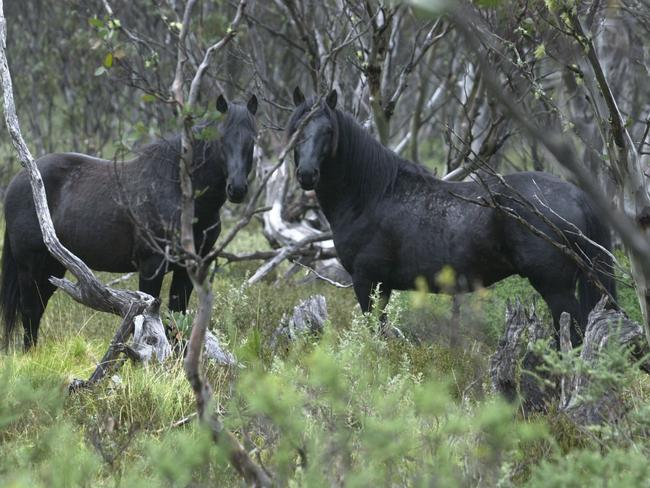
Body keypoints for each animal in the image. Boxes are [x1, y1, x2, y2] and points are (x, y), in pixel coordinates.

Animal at [0, 93, 258, 348]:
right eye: (222, 139)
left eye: (252, 141)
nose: (237, 189)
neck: (178, 190)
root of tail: (17, 181)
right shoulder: (151, 267)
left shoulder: (187, 270)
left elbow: (176, 319)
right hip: (29, 264)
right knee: (30, 310)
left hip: (53, 265)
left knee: (37, 309)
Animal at [288, 87, 612, 342]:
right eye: (296, 130)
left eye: (328, 131)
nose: (307, 174)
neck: (372, 195)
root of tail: (576, 194)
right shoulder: (381, 286)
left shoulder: (368, 281)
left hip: (555, 287)